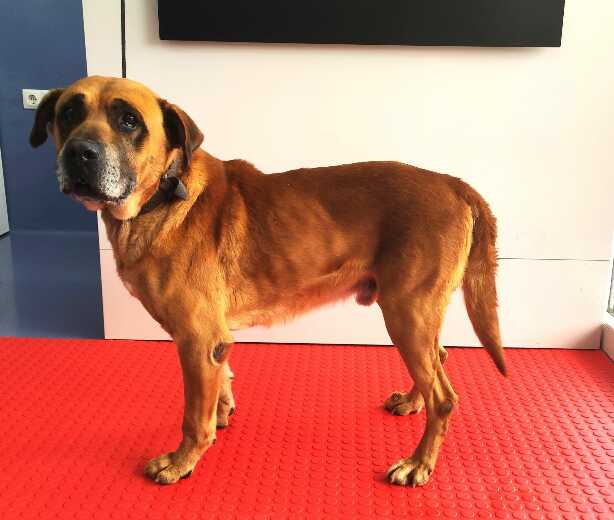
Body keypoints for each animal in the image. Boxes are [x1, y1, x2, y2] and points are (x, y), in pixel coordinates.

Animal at [30, 76, 505, 486]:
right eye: (69, 112)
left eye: (129, 120)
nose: (79, 153)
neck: (161, 197)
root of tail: (454, 184)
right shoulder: (214, 342)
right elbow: (220, 386)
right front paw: (222, 413)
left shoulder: (197, 340)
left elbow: (193, 417)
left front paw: (182, 461)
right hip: (418, 315)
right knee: (439, 357)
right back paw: (411, 402)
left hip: (407, 312)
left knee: (444, 397)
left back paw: (418, 463)